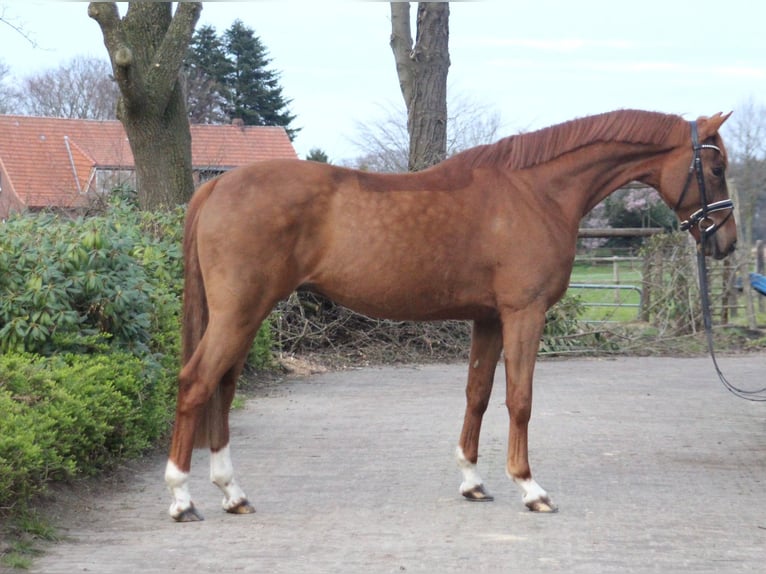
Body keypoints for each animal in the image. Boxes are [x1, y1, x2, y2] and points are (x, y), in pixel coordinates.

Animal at [166, 108, 736, 520]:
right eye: (715, 168)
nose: (726, 242)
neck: (536, 192)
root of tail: (216, 184)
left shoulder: (488, 318)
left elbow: (478, 395)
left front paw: (473, 481)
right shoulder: (523, 314)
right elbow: (520, 399)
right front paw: (530, 487)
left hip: (245, 314)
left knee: (223, 387)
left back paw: (232, 494)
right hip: (240, 312)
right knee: (196, 383)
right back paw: (182, 497)